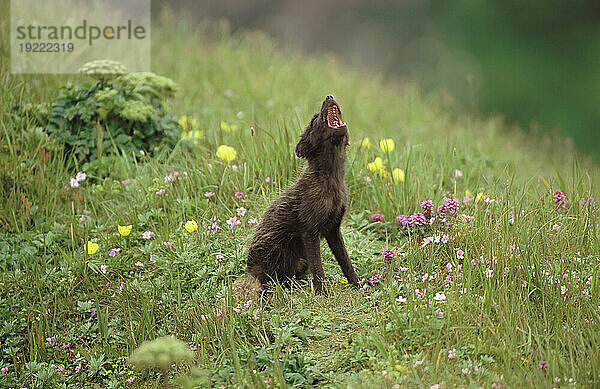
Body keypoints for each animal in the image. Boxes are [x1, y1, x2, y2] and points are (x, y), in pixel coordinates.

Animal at [233, 95, 356, 298]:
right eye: (314, 119)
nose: (329, 96)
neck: (332, 181)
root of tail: (250, 272)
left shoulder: (333, 228)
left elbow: (346, 263)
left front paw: (359, 285)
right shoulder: (309, 231)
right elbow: (318, 269)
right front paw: (322, 294)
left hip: (299, 259)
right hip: (282, 250)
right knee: (273, 281)